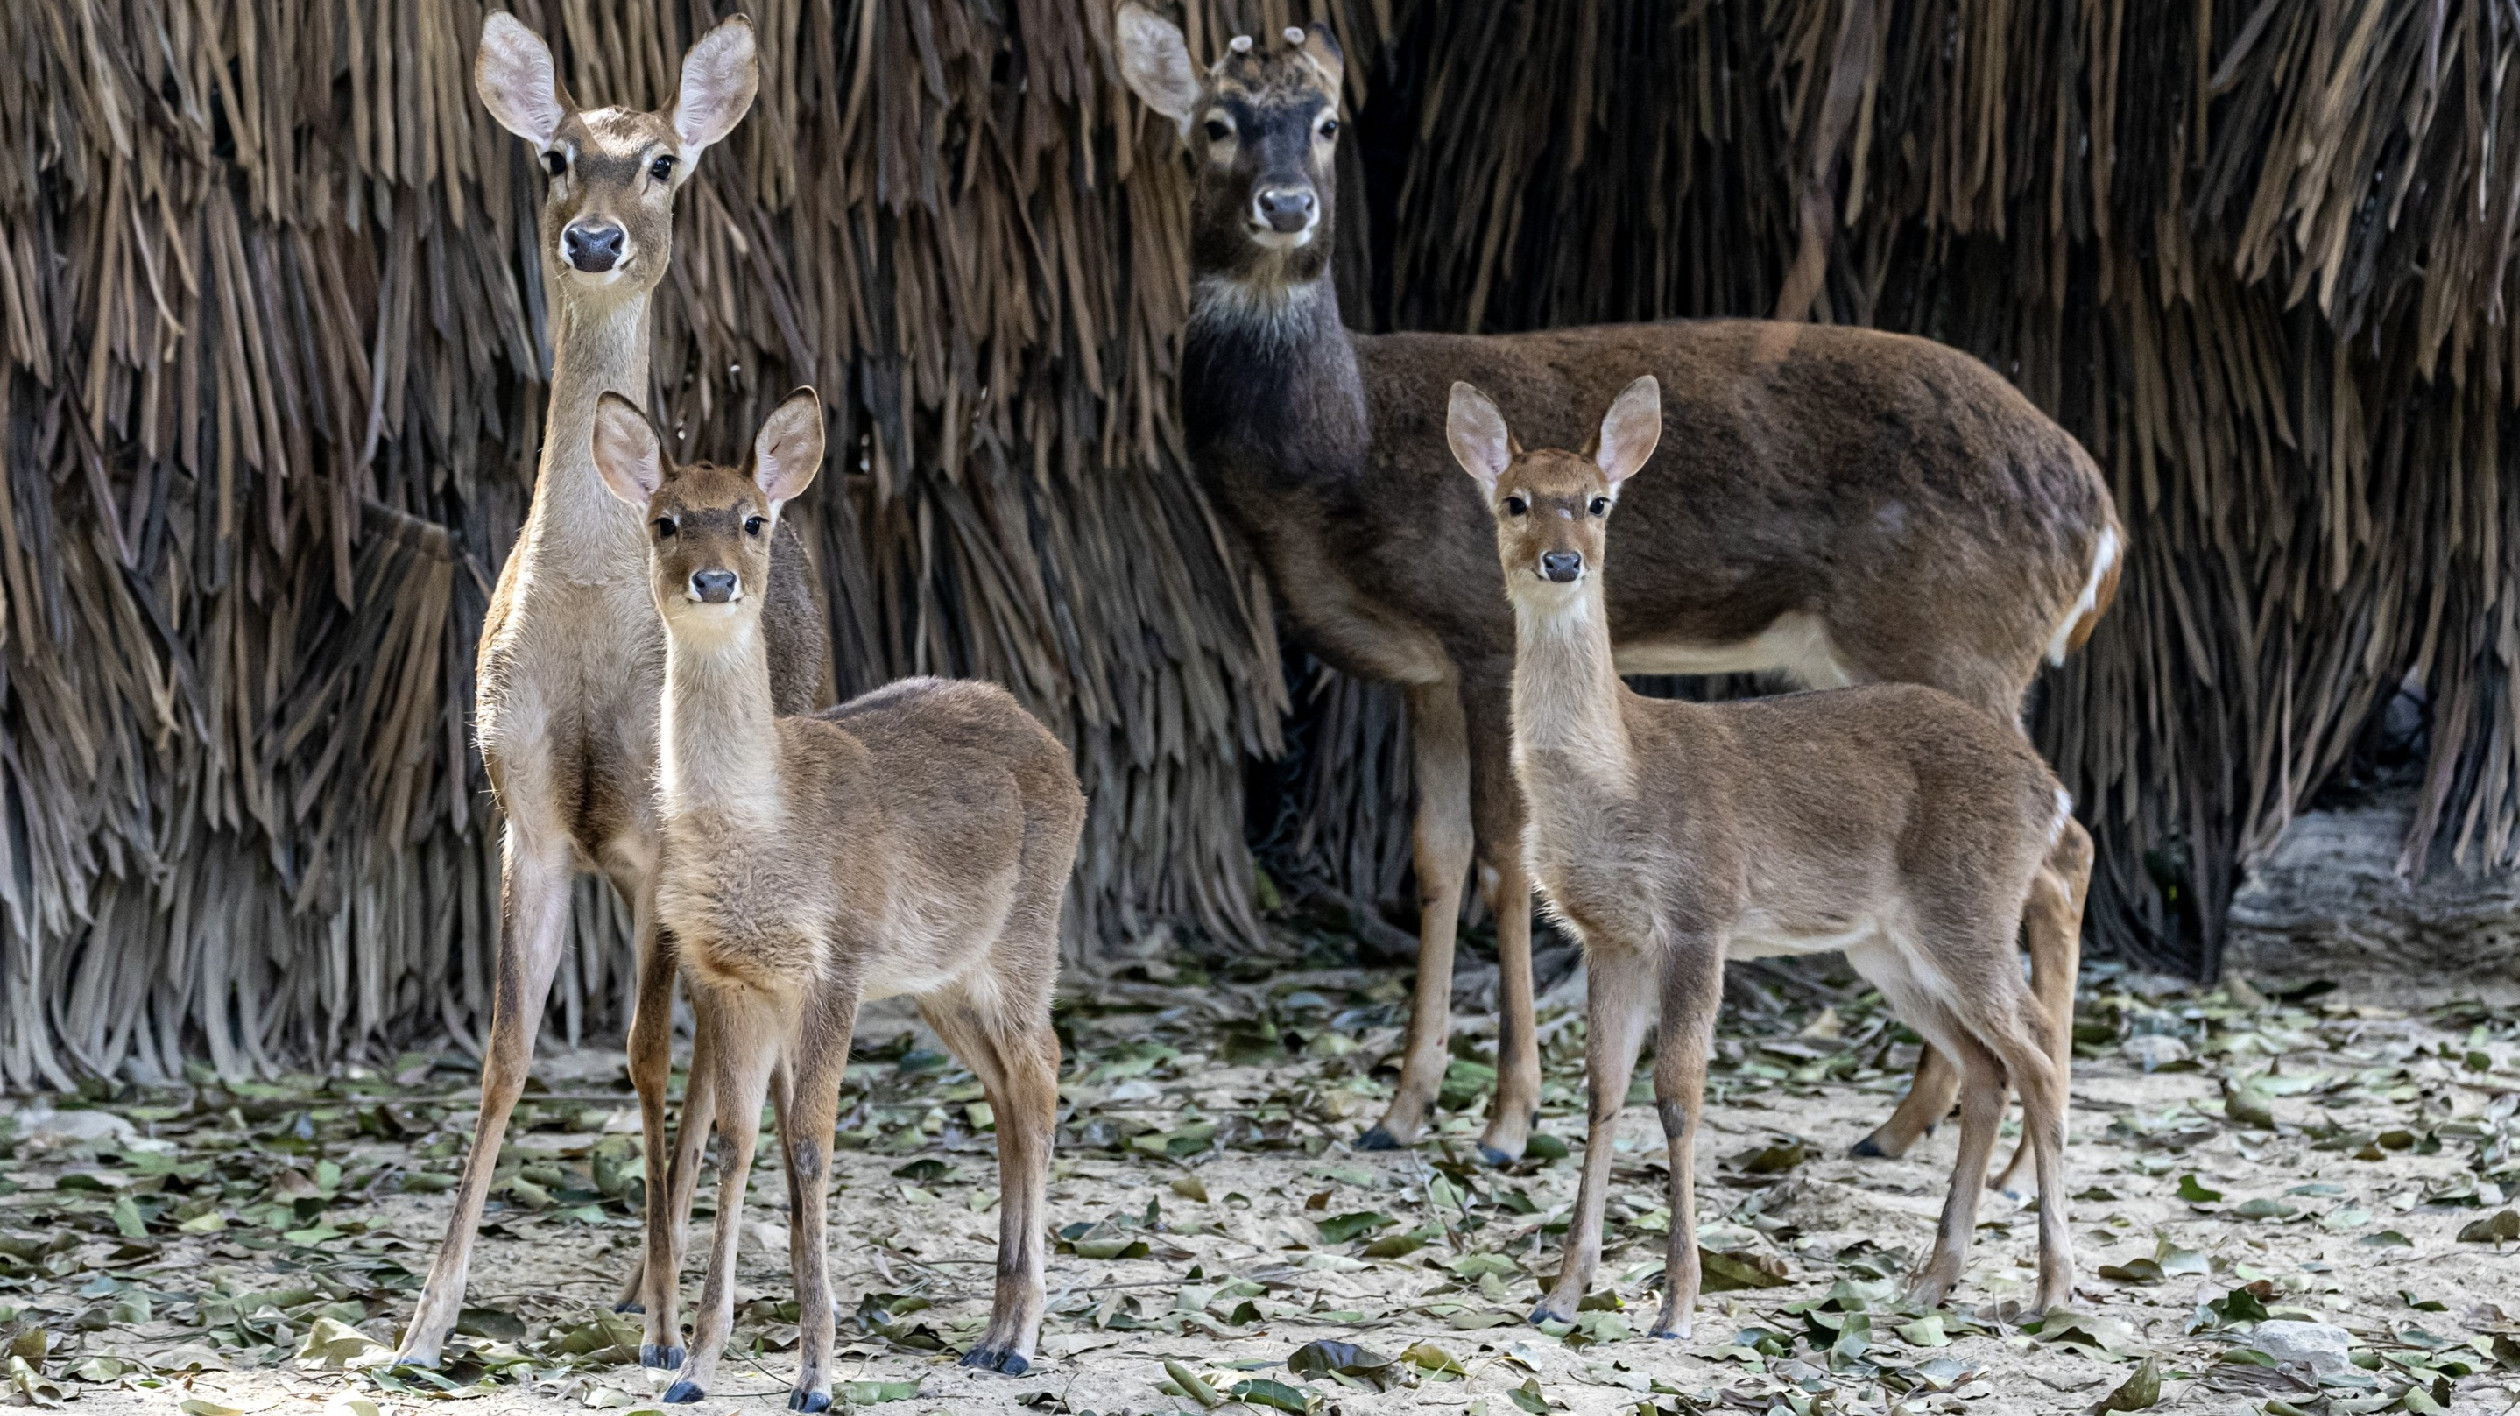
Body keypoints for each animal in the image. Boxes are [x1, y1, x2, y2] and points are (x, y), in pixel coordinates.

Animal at [393, 5, 826, 1360]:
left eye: (663, 164)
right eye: (553, 155)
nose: (594, 237)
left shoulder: (651, 836)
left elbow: (642, 1054)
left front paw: (663, 1320)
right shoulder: (519, 810)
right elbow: (504, 1051)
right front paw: (425, 1321)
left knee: (728, 1049)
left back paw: (670, 1281)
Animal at [592, 388, 1083, 1400]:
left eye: (753, 519)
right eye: (665, 521)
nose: (713, 582)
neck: (764, 830)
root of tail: (1063, 756)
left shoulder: (838, 963)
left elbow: (811, 1145)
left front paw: (816, 1377)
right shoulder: (730, 977)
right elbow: (737, 1142)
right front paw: (693, 1364)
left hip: (1025, 940)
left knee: (1045, 1068)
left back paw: (1019, 1339)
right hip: (943, 980)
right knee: (1006, 1086)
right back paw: (989, 1334)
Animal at [1113, 5, 2116, 1164]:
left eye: (1325, 122)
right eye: (1217, 124)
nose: (1287, 204)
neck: (1338, 456)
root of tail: (2099, 521)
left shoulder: (1480, 633)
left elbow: (1507, 859)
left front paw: (1507, 1120)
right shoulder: (1421, 667)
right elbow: (1435, 861)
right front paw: (1399, 1112)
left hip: (1958, 636)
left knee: (2064, 839)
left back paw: (1949, 1131)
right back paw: (1913, 1128)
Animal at [1461, 375, 2086, 1320]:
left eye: (1599, 502)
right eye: (1515, 501)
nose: (1563, 562)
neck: (1620, 775)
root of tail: (2047, 791)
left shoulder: (1700, 910)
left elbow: (1678, 1096)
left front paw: (1677, 1304)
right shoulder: (1607, 933)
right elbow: (1602, 1093)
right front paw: (1562, 1293)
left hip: (1969, 906)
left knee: (2037, 1052)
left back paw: (2052, 1289)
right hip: (1888, 945)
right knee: (1986, 1068)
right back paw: (1932, 1277)